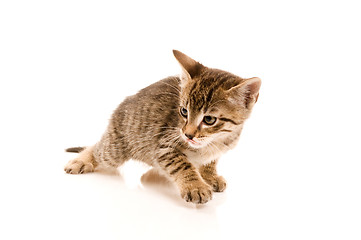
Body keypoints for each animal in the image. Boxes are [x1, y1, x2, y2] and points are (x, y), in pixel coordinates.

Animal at [64, 50, 260, 204]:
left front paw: (209, 175)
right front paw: (195, 185)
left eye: (209, 119)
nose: (188, 135)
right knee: (97, 148)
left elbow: (210, 162)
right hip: (116, 149)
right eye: (183, 111)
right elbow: (182, 165)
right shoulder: (164, 147)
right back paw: (81, 161)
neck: (215, 141)